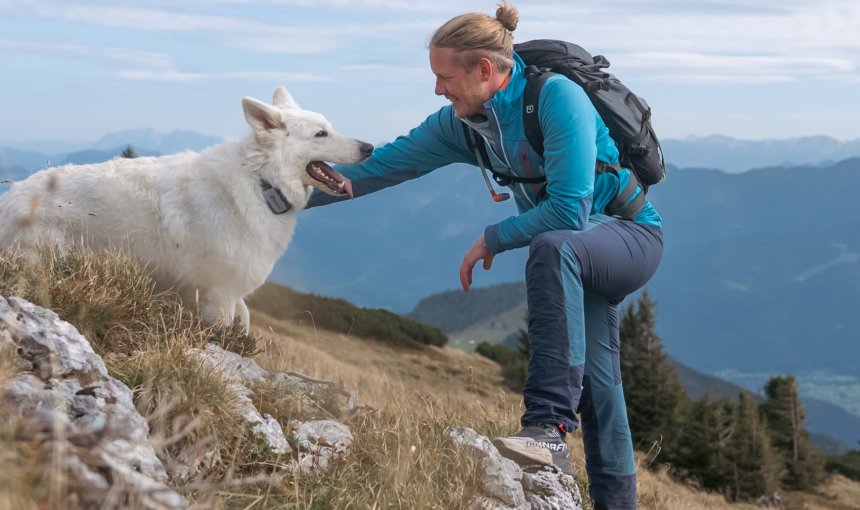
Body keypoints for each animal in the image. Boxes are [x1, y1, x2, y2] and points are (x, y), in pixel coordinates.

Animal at [0, 85, 370, 332]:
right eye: (321, 134)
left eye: (329, 128)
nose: (369, 147)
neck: (261, 182)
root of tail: (11, 198)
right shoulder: (217, 297)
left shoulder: (230, 295)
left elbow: (245, 319)